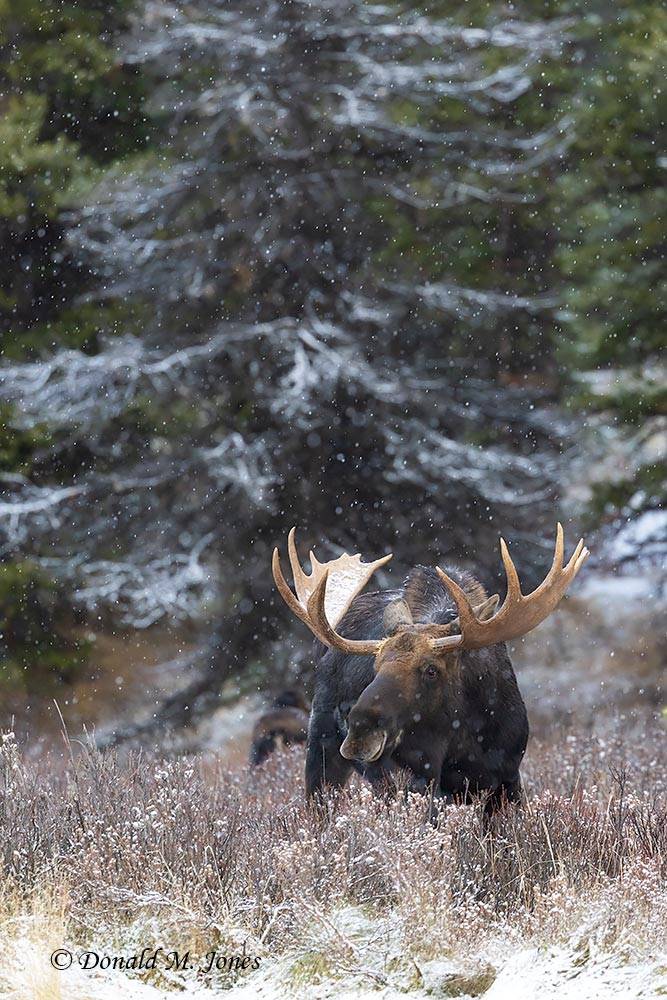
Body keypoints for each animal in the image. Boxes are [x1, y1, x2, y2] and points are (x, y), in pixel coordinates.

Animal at [272, 525, 589, 814]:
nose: (360, 726)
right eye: (376, 665)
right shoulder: (422, 778)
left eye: (431, 670)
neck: (469, 737)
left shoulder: (508, 777)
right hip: (323, 749)